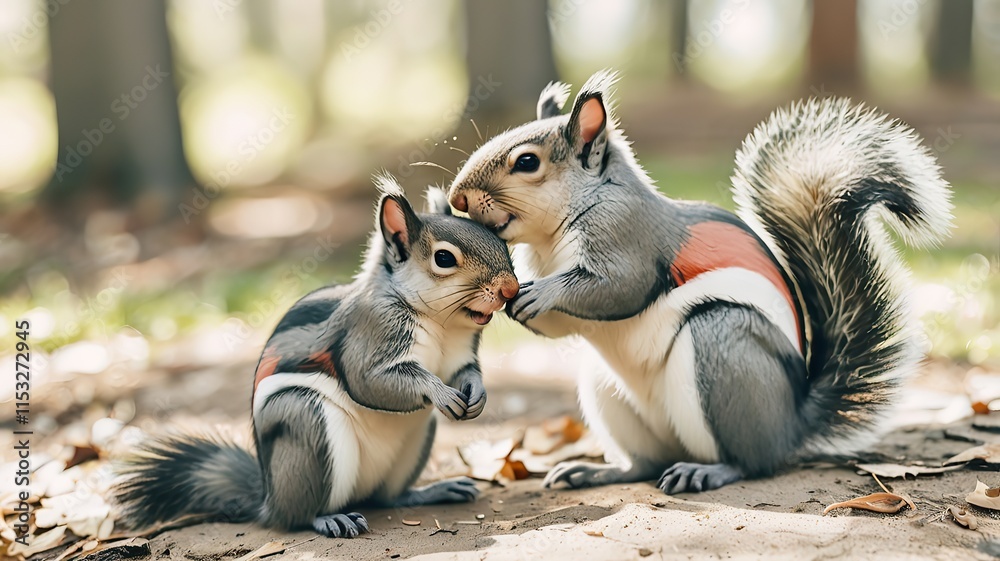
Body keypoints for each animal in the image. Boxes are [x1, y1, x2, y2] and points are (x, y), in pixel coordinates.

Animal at [113, 175, 519, 537]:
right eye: (444, 258)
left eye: (500, 241)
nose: (510, 289)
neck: (439, 322)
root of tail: (267, 498)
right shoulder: (368, 335)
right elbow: (370, 381)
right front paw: (439, 392)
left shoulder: (460, 354)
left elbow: (467, 372)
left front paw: (477, 394)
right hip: (305, 425)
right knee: (297, 516)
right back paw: (328, 518)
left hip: (414, 443)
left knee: (388, 497)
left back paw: (433, 490)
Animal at [447, 71, 952, 494]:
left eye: (526, 162)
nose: (457, 198)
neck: (552, 237)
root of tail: (791, 425)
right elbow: (560, 325)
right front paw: (506, 301)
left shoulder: (627, 235)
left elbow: (617, 287)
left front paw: (544, 292)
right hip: (608, 391)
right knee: (645, 464)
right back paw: (594, 471)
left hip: (723, 349)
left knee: (750, 461)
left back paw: (708, 471)